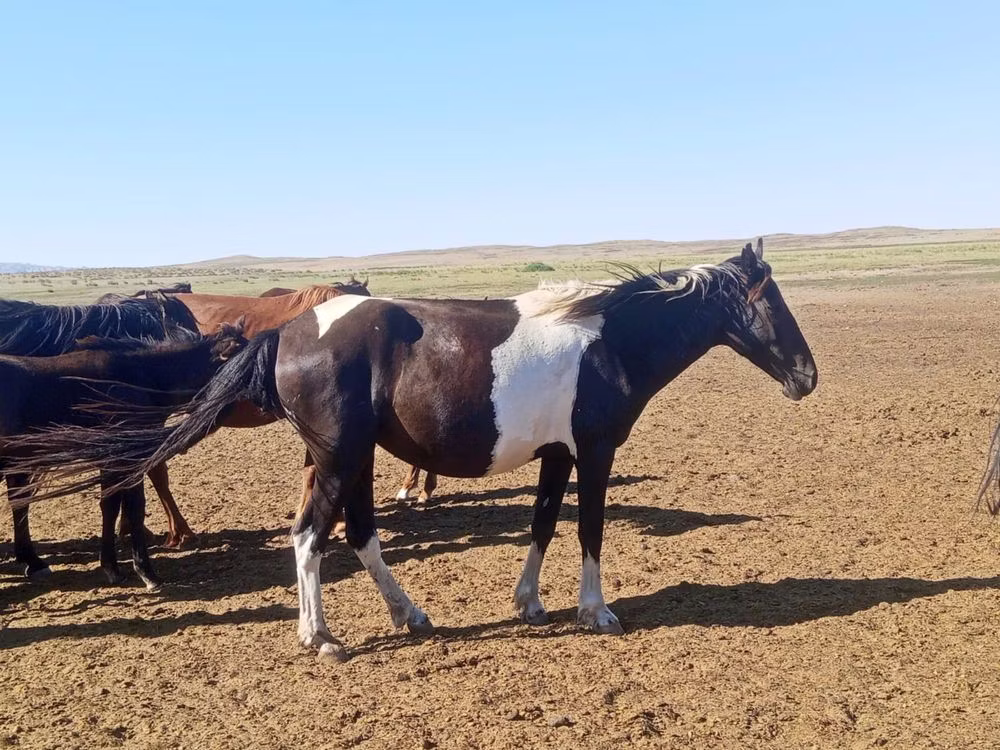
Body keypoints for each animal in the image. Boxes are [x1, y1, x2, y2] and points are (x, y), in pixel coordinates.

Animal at [0, 323, 246, 585]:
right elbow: (134, 508)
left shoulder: (113, 463)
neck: (138, 378)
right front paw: (145, 570)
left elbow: (111, 506)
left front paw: (111, 566)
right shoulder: (125, 460)